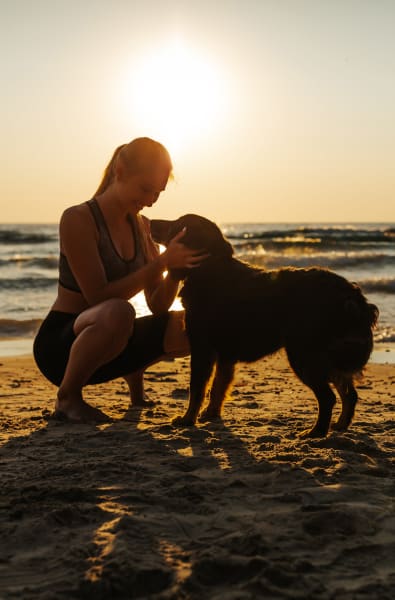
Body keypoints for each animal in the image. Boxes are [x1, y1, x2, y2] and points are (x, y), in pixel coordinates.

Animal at [151, 214, 378, 436]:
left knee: (328, 397)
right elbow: (217, 387)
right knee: (350, 394)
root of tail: (352, 295)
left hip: (303, 355)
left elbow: (197, 389)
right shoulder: (225, 355)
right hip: (327, 356)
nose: (151, 221)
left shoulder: (202, 348)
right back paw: (340, 425)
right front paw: (211, 414)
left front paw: (188, 420)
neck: (210, 268)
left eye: (178, 224)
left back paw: (316, 432)